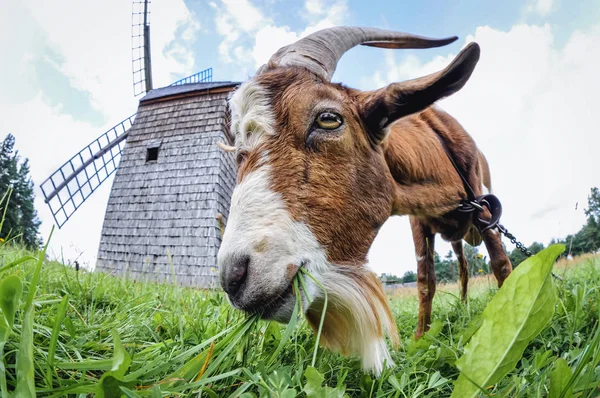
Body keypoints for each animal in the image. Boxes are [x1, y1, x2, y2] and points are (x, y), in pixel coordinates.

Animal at [218, 26, 512, 374]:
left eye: (328, 118)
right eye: (237, 148)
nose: (233, 277)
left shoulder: (483, 207)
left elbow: (501, 264)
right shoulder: (418, 220)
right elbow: (425, 281)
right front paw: (420, 338)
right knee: (463, 266)